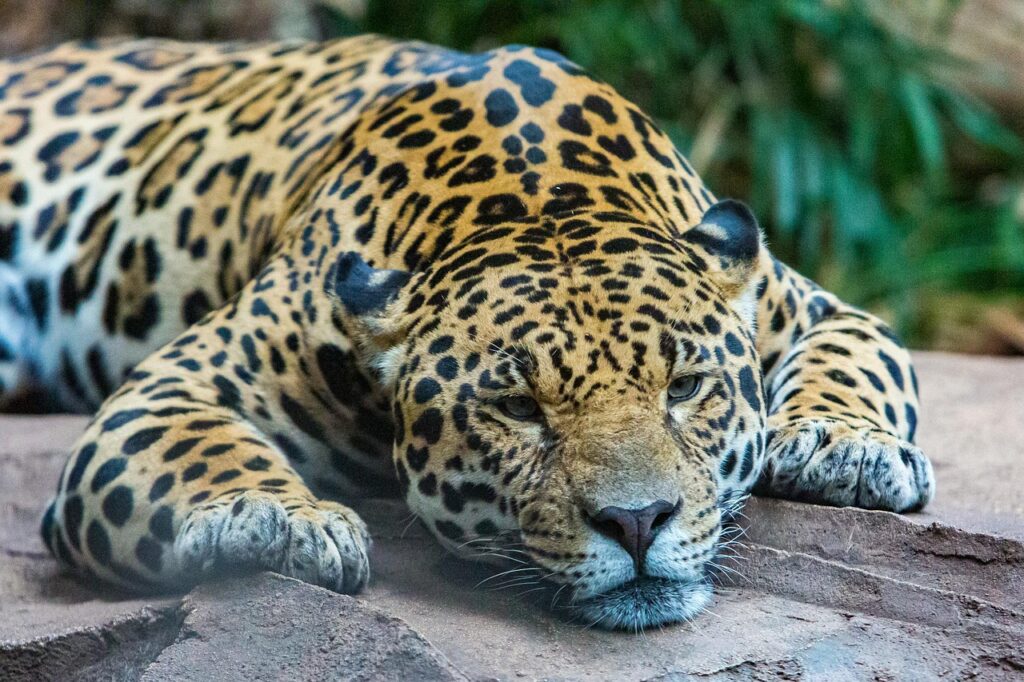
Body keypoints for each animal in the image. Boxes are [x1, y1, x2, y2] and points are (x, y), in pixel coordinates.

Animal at [0, 35, 933, 630]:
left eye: (687, 388)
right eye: (519, 408)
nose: (638, 525)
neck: (534, 192)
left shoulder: (806, 303)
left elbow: (862, 357)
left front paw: (843, 447)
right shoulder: (181, 383)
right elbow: (200, 444)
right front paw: (276, 521)